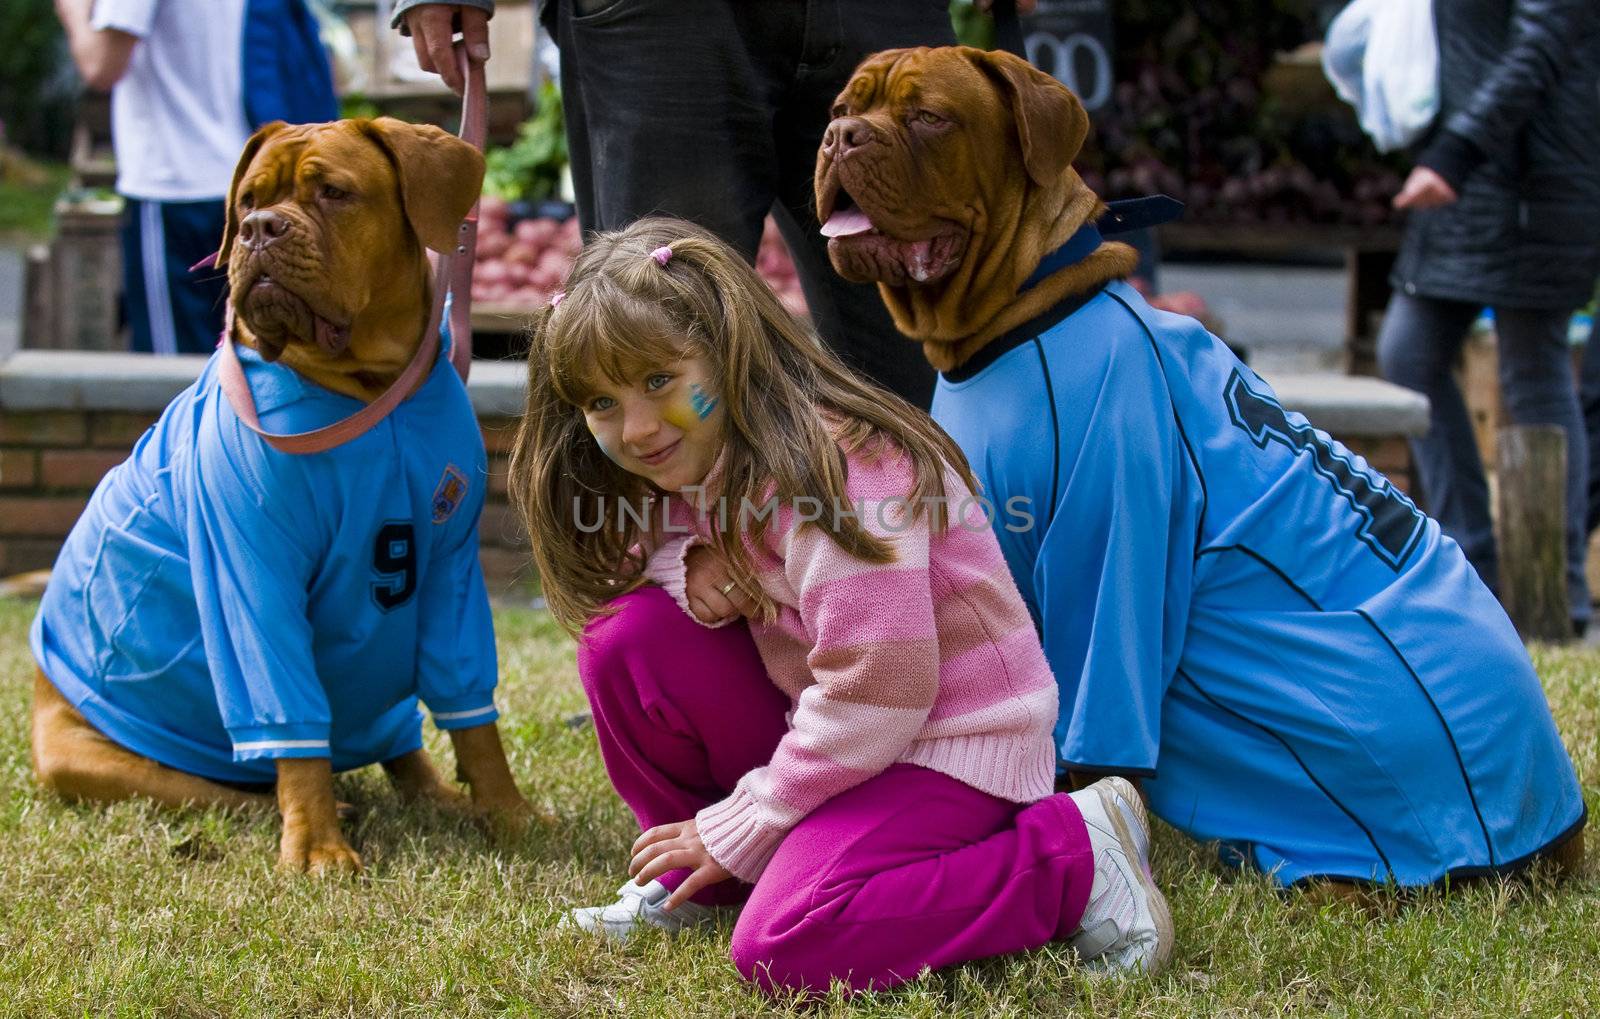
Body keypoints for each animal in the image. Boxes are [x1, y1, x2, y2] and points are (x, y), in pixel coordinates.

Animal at [28, 119, 537, 876]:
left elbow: (473, 718)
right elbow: (293, 731)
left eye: (334, 192)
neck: (366, 386)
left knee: (399, 744)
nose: (259, 230)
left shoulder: (450, 572)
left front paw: (504, 810)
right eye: (247, 201)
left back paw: (438, 796)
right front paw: (319, 844)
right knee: (219, 789)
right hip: (86, 758)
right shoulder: (251, 573)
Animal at [819, 47, 1580, 889]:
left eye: (929, 117)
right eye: (843, 107)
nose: (842, 137)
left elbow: (1079, 720)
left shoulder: (1107, 549)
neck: (1020, 313)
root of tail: (1556, 825)